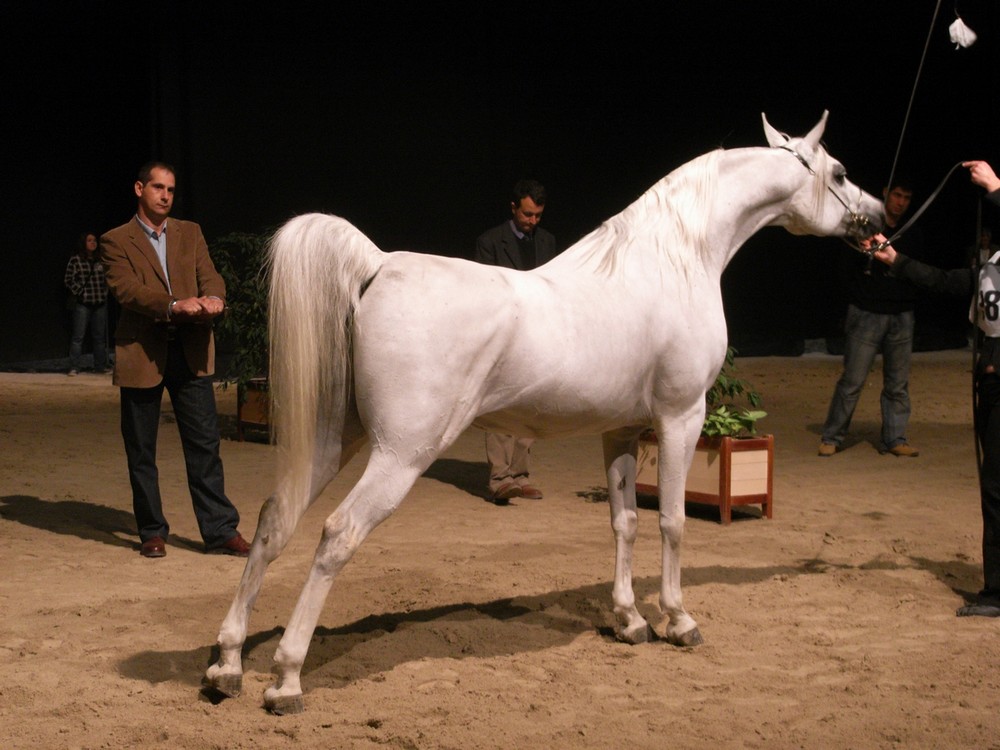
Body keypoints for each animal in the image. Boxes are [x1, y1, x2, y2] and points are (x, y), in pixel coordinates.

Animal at [205, 111, 884, 716]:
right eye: (840, 171)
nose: (878, 219)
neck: (672, 260)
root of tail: (379, 265)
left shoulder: (620, 430)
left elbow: (624, 522)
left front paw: (629, 620)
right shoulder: (681, 419)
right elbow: (671, 522)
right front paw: (677, 620)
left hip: (333, 439)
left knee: (274, 521)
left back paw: (227, 665)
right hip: (401, 453)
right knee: (336, 536)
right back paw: (286, 679)